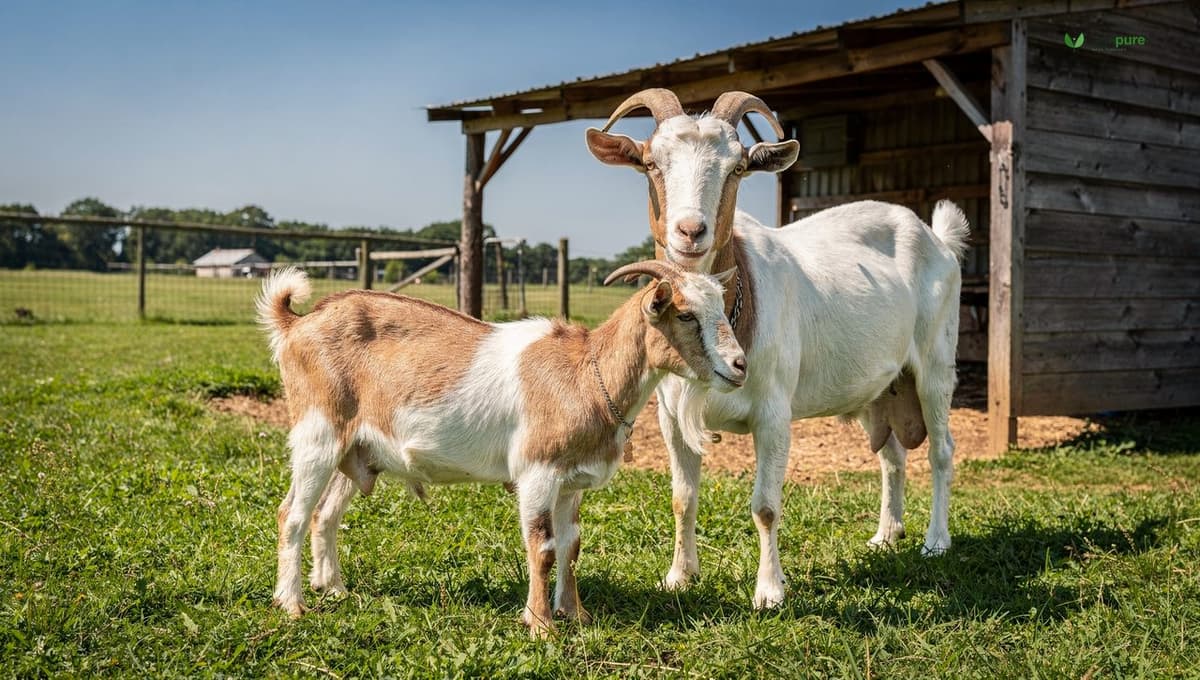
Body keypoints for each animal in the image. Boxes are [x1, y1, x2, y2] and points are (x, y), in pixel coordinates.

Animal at [256, 260, 746, 635]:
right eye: (685, 315)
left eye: (721, 309)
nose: (740, 365)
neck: (587, 373)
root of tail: (297, 324)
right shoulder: (537, 473)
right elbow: (543, 547)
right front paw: (540, 624)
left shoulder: (572, 484)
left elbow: (571, 546)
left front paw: (576, 614)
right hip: (318, 432)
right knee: (292, 514)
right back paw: (291, 603)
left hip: (354, 449)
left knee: (325, 514)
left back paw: (334, 588)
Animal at [587, 89, 969, 608]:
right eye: (651, 164)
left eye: (737, 168)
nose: (690, 231)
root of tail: (938, 238)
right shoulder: (670, 414)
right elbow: (682, 497)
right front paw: (679, 576)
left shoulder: (773, 412)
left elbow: (765, 506)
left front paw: (769, 591)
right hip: (879, 387)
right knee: (892, 455)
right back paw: (886, 535)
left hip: (934, 363)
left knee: (942, 449)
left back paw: (936, 541)